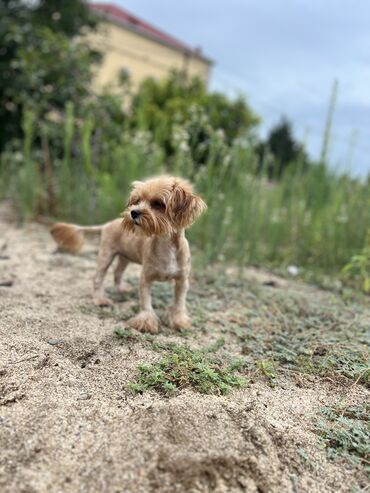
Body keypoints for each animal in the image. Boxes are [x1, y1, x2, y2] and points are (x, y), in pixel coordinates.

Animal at [49, 175, 207, 332]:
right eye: (136, 201)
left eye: (158, 203)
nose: (133, 212)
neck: (165, 245)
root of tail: (107, 224)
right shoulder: (145, 279)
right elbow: (146, 303)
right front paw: (146, 322)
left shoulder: (182, 281)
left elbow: (179, 303)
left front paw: (179, 321)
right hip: (106, 255)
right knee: (98, 278)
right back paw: (100, 299)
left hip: (124, 257)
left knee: (117, 273)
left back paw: (121, 289)